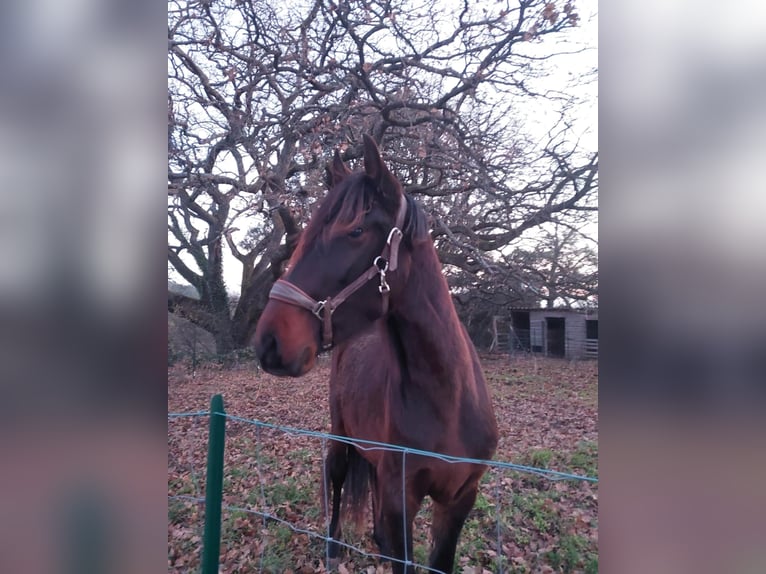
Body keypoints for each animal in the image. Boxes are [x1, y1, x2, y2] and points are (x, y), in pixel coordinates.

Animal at [255, 136, 500, 574]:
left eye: (354, 231)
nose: (268, 341)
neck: (448, 401)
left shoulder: (460, 498)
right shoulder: (401, 500)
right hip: (341, 435)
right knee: (336, 477)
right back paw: (333, 548)